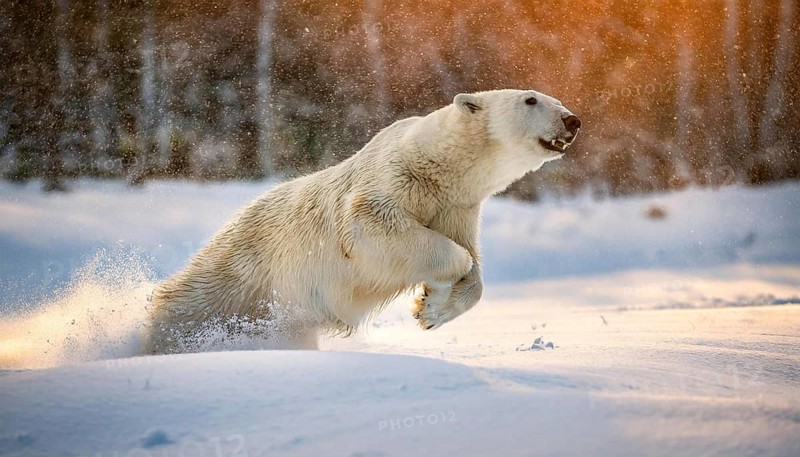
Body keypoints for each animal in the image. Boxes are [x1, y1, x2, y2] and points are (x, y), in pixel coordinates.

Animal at [144, 89, 581, 353]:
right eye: (531, 99)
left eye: (556, 99)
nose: (573, 120)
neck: (436, 164)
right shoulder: (390, 184)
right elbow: (375, 228)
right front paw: (433, 292)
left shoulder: (458, 207)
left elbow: (473, 266)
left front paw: (431, 310)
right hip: (241, 271)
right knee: (190, 305)